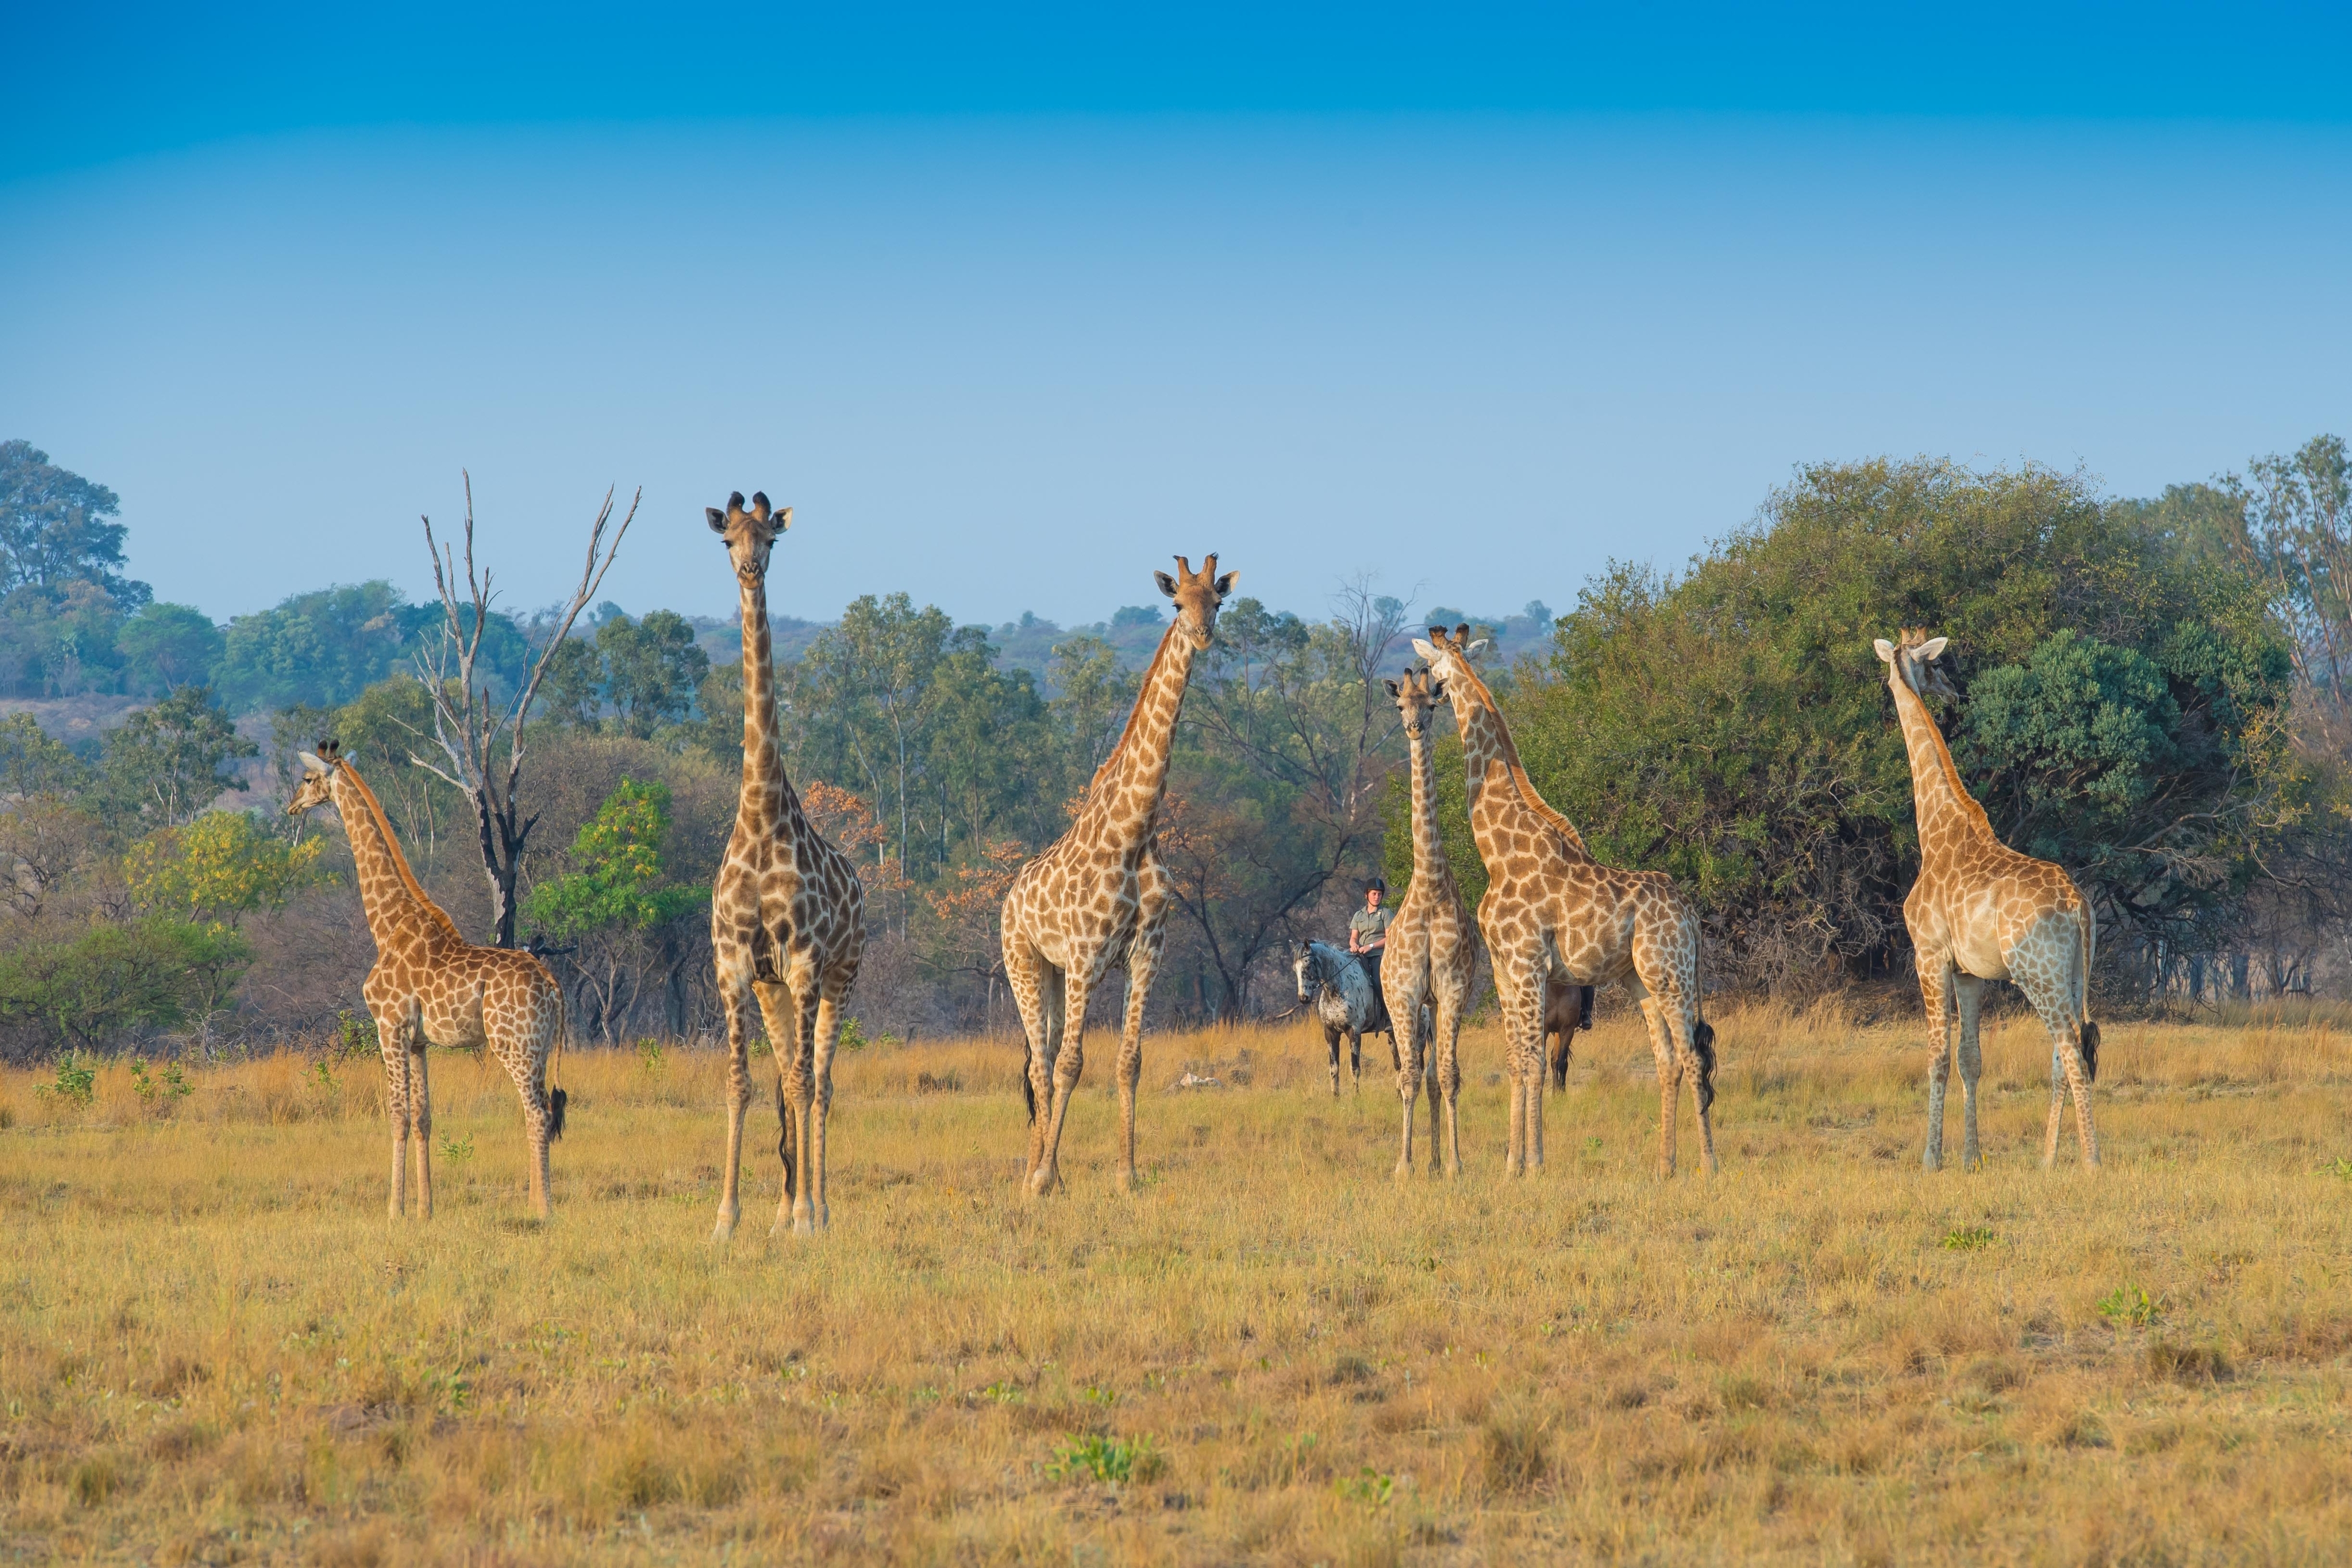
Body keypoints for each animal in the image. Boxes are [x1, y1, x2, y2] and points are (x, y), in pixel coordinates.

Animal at [1293, 940, 1403, 1097]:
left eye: (1308, 965)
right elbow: (1334, 1068)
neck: (1336, 990)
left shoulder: (1354, 1031)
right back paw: (1399, 1094)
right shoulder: (1330, 1032)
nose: (1303, 998)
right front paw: (1336, 1097)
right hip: (1393, 1034)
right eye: (1295, 970)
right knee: (1399, 1063)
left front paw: (1356, 1097)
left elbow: (1355, 1068)